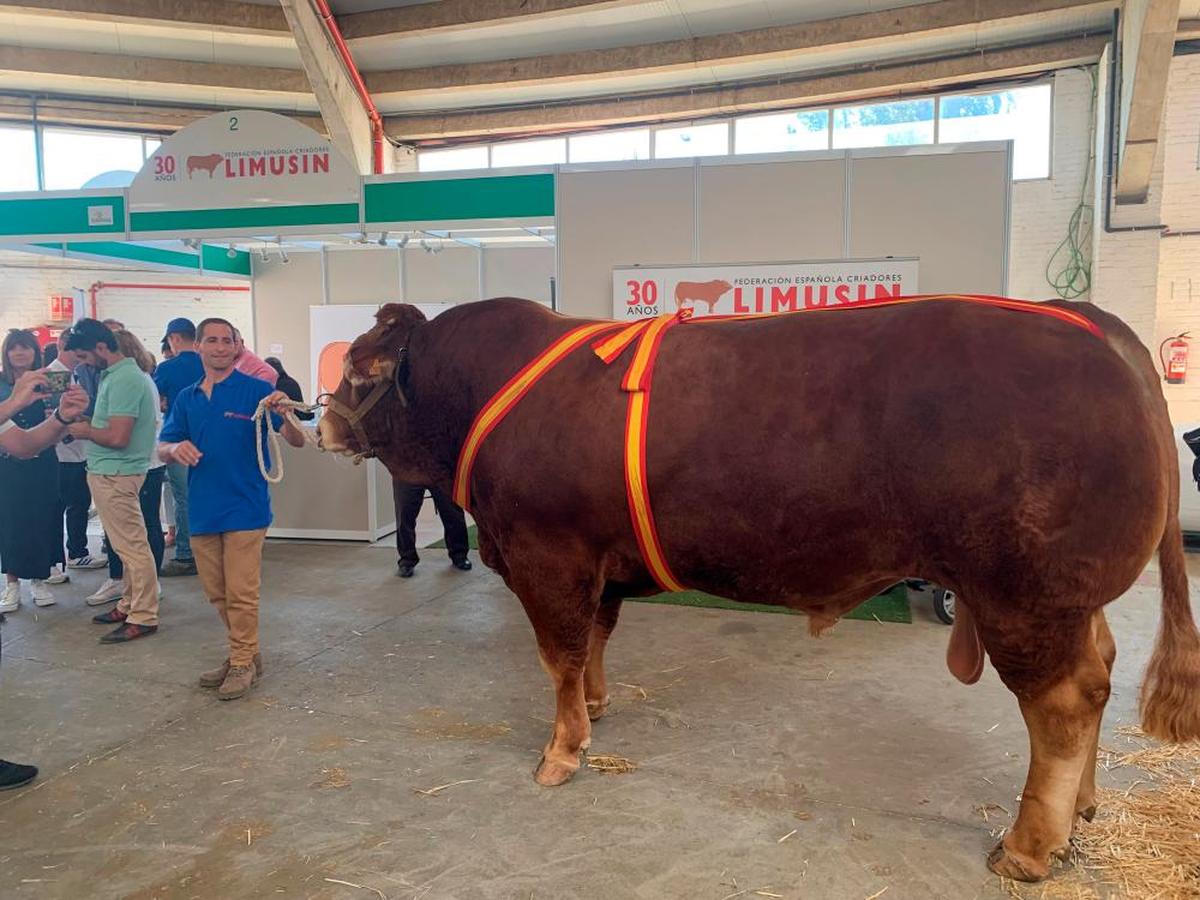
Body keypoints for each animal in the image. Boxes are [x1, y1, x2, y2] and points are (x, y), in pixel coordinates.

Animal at [319, 300, 1200, 883]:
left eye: (360, 369)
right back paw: (1081, 809)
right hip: (1068, 598)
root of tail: (1085, 321)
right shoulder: (599, 561)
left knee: (1064, 705)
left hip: (1024, 596)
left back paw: (1027, 846)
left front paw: (561, 750)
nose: (318, 421)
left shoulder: (547, 553)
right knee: (1101, 669)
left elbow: (559, 655)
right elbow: (596, 639)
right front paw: (598, 708)